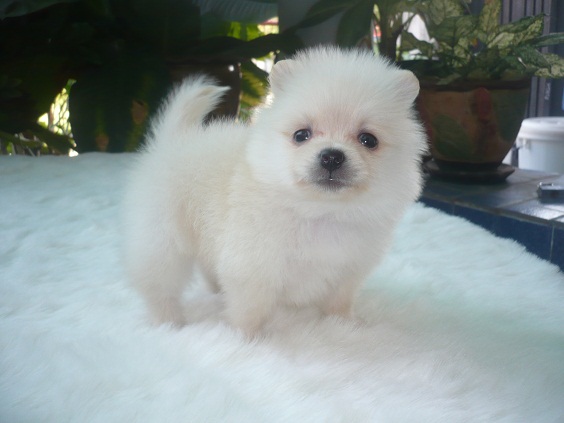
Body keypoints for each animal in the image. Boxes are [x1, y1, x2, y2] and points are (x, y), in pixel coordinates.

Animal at [123, 46, 427, 335]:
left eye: (368, 140)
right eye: (301, 135)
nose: (331, 157)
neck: (321, 212)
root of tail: (173, 141)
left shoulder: (349, 268)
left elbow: (340, 298)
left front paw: (346, 323)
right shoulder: (253, 267)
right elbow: (250, 309)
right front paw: (247, 338)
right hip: (163, 239)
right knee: (160, 284)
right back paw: (169, 322)